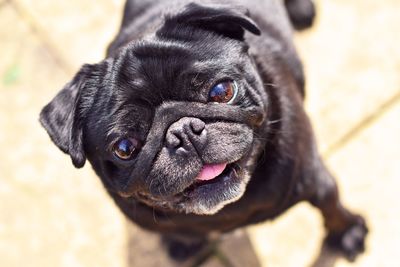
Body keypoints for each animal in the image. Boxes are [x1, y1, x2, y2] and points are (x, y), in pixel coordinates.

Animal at [39, 0, 368, 264]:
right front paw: (184, 243)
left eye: (222, 91)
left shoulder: (311, 176)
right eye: (124, 148)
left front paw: (348, 233)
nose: (183, 131)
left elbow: (331, 207)